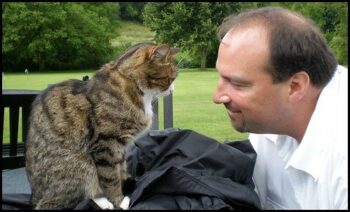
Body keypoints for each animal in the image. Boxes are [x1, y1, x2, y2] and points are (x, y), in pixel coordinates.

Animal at [24, 41, 179, 209]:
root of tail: (34, 194)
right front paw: (119, 201)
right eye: (170, 78)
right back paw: (105, 202)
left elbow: (120, 168)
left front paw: (126, 183)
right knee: (58, 200)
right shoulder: (106, 144)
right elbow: (110, 178)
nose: (172, 91)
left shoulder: (121, 146)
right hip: (79, 164)